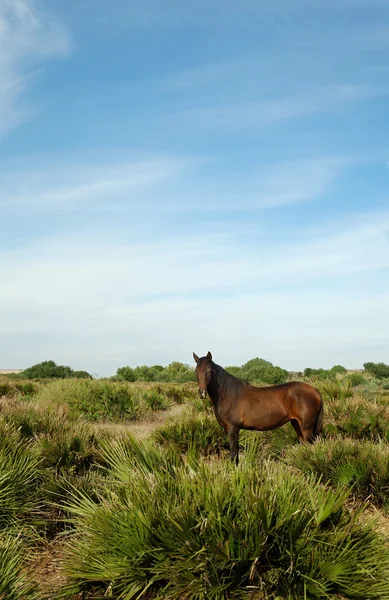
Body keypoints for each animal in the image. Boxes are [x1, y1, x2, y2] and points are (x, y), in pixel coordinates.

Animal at [192, 352, 322, 464]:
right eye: (196, 370)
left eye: (209, 370)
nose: (201, 393)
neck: (228, 395)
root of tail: (314, 390)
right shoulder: (228, 429)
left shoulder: (233, 428)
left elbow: (233, 455)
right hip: (296, 424)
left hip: (306, 427)